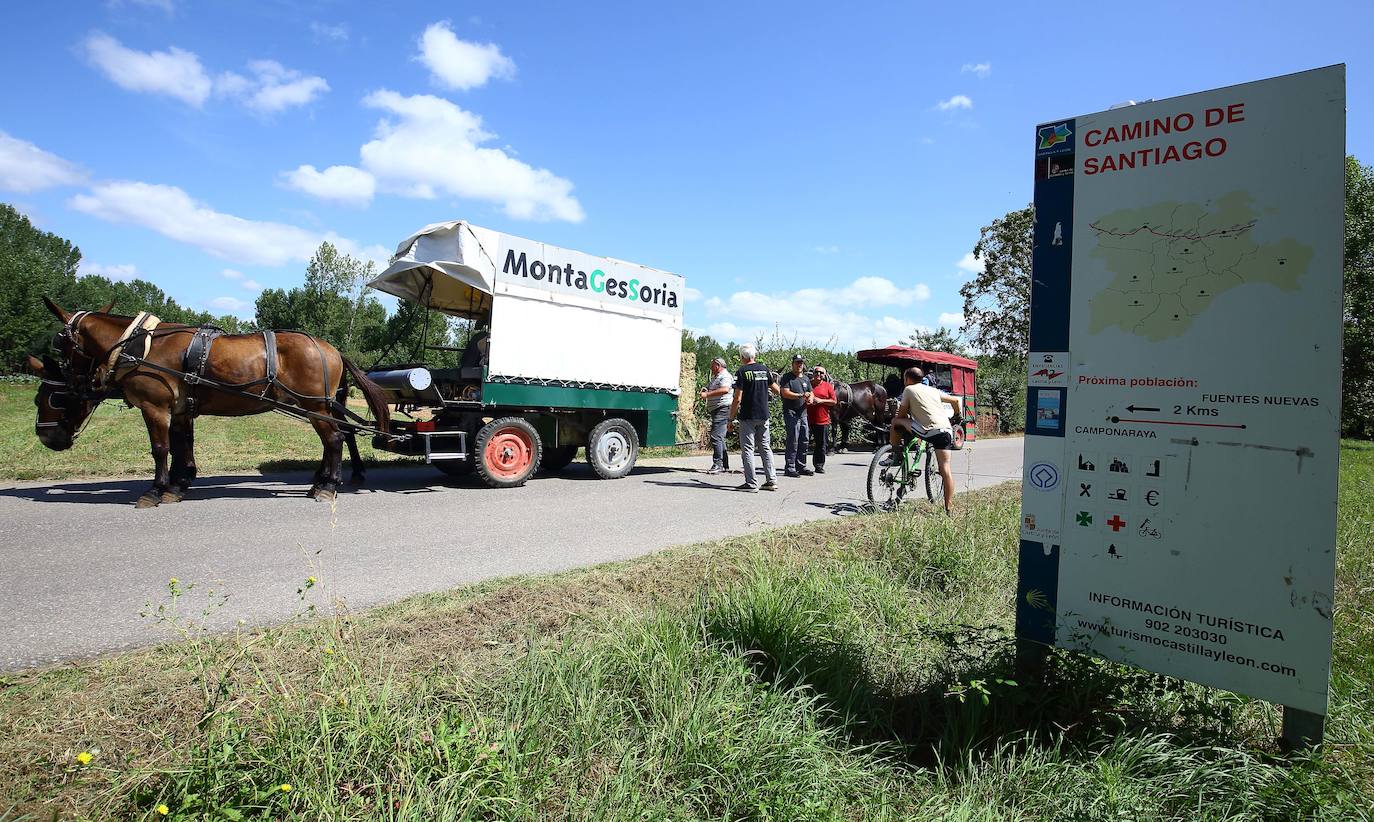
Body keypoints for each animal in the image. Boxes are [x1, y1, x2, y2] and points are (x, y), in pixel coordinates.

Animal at [28, 299, 392, 508]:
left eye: (51, 396)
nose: (46, 437)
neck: (138, 347)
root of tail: (330, 348)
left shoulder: (155, 406)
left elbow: (160, 449)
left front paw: (155, 491)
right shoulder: (181, 409)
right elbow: (182, 446)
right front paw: (179, 485)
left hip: (315, 406)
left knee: (335, 439)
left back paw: (327, 486)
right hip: (320, 406)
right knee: (335, 439)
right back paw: (324, 481)